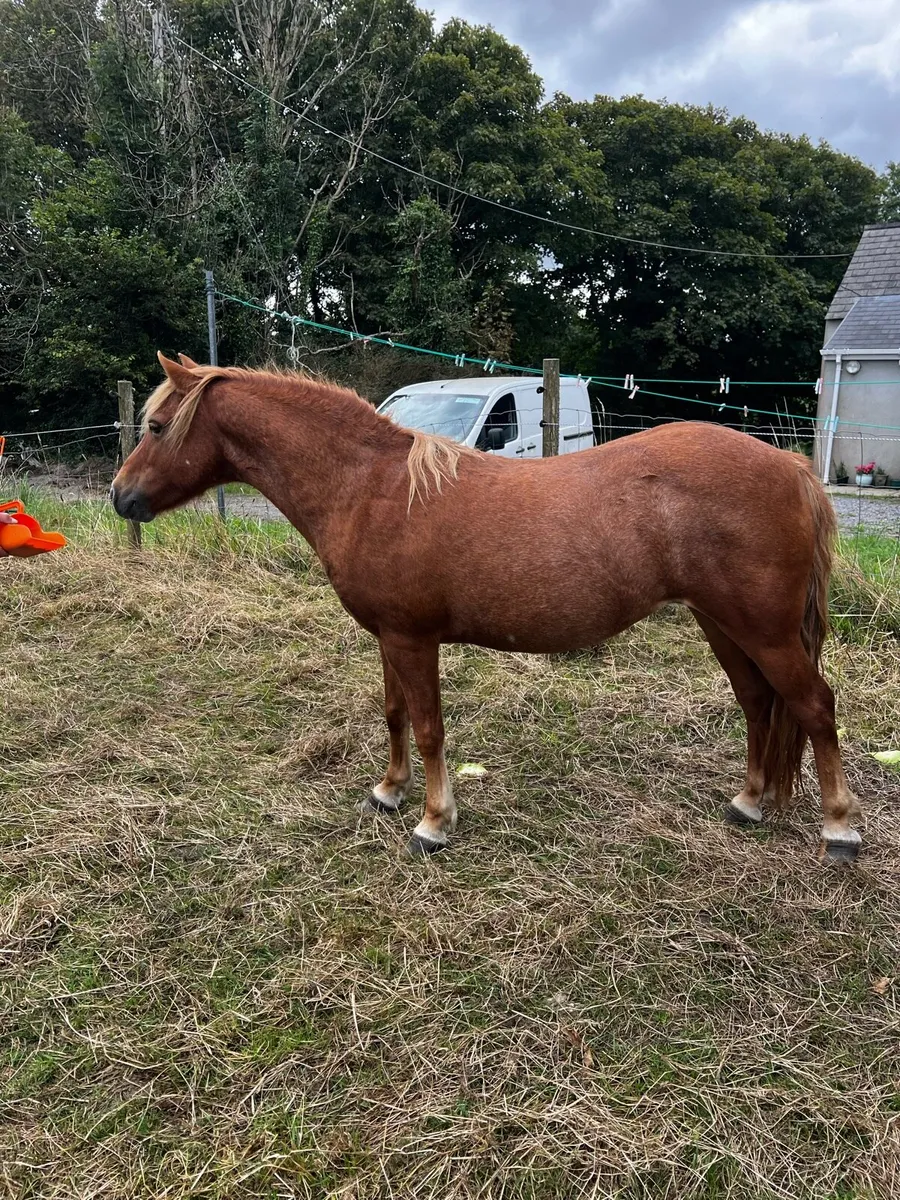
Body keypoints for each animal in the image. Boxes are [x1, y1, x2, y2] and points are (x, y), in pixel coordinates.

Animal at [110, 353, 861, 863]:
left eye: (157, 425)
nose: (120, 497)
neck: (371, 489)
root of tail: (792, 469)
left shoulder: (413, 639)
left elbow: (428, 728)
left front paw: (433, 822)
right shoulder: (388, 637)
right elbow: (394, 715)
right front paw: (388, 792)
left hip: (764, 631)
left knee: (814, 706)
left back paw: (839, 826)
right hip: (724, 624)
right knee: (760, 704)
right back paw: (749, 803)